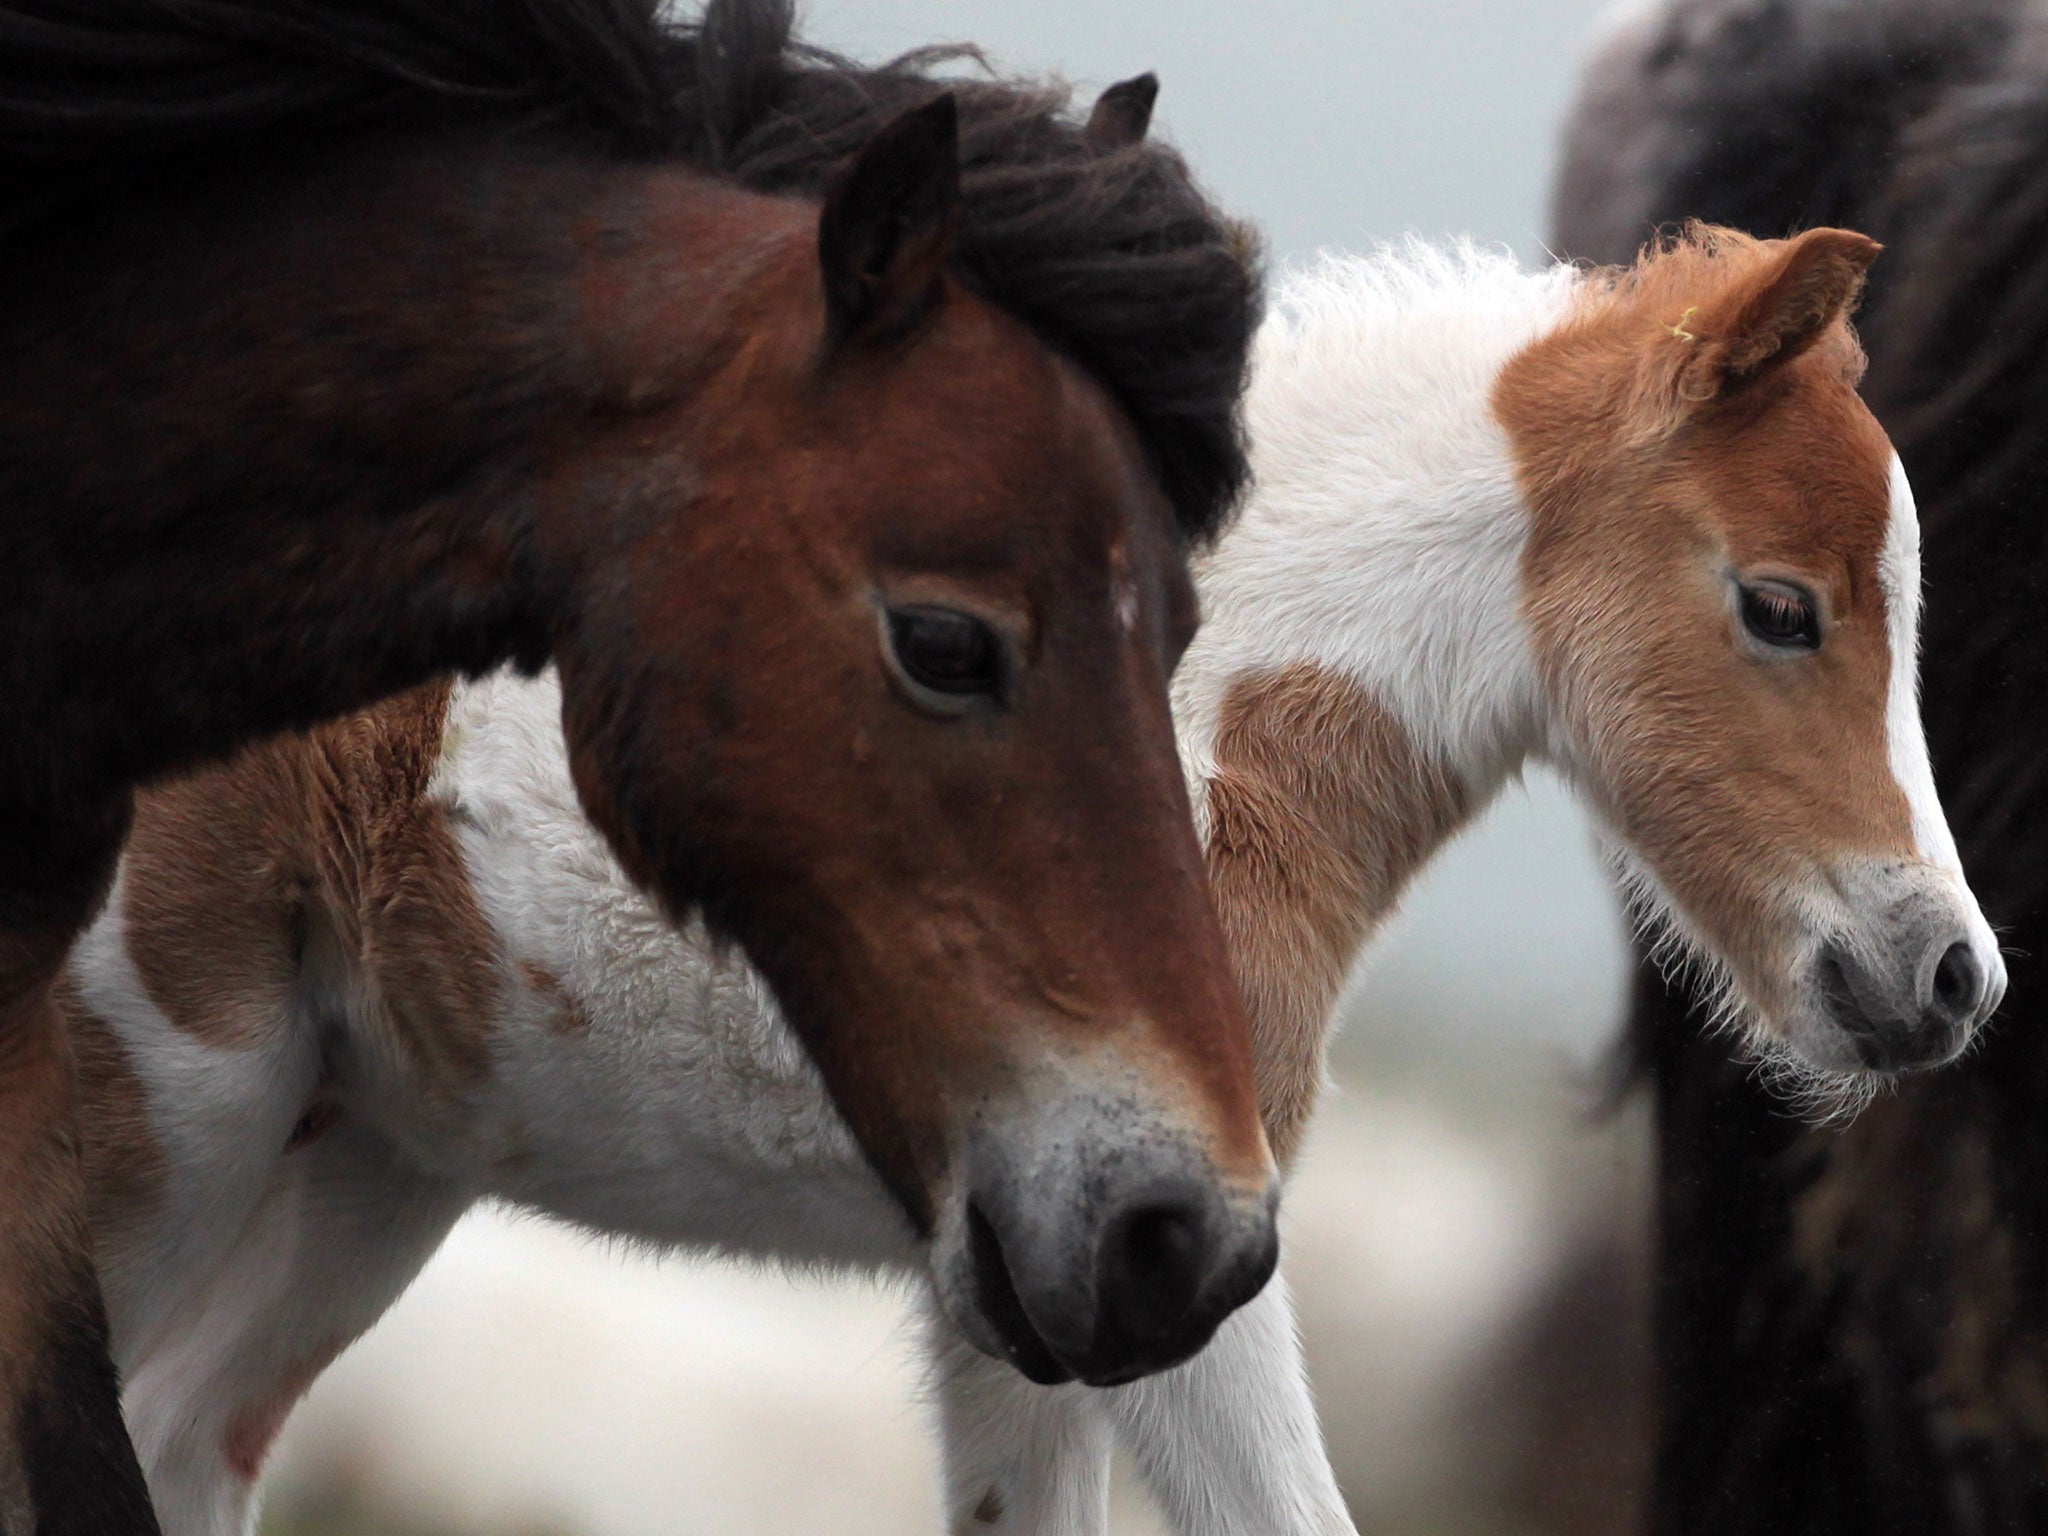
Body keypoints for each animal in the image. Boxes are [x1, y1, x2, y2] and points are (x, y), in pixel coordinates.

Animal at [75, 222, 1998, 1531]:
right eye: (1778, 605)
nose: (1947, 976)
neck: (1196, 749)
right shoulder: (1184, 1267)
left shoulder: (1052, 1289)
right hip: (170, 1101)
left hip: (372, 1153)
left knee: (182, 1432)